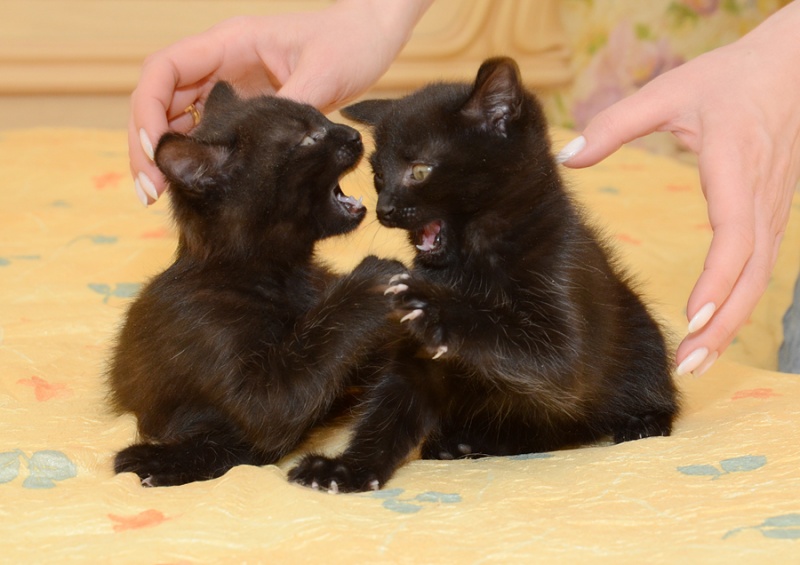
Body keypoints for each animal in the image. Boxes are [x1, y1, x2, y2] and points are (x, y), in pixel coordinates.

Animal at [108, 81, 405, 487]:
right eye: (307, 138)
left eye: (322, 118)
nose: (354, 134)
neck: (277, 275)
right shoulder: (235, 366)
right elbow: (278, 403)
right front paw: (373, 280)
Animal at [288, 57, 680, 493]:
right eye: (377, 177)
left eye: (419, 171)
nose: (384, 208)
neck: (474, 259)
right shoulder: (416, 364)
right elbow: (388, 411)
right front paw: (348, 469)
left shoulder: (564, 324)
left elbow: (504, 329)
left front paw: (433, 306)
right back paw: (461, 444)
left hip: (644, 341)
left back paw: (642, 421)